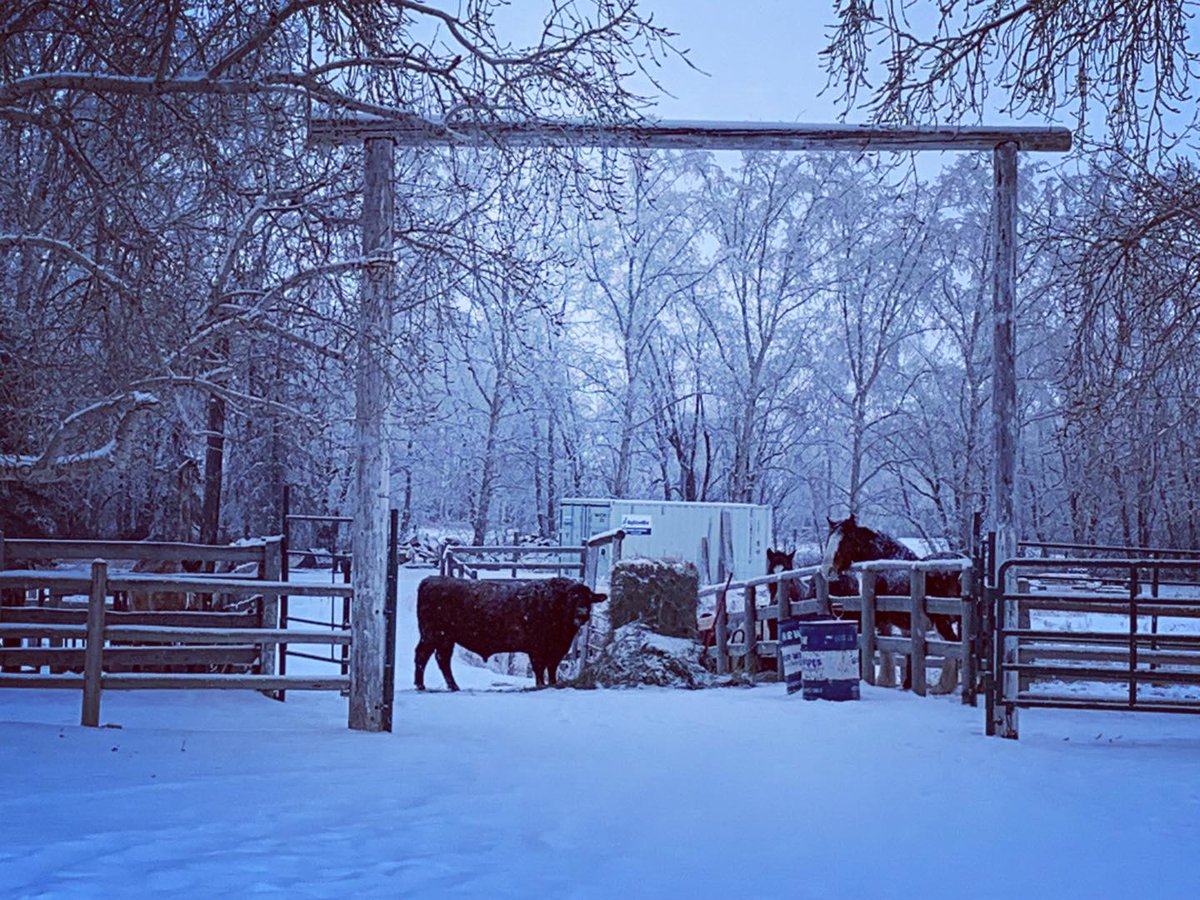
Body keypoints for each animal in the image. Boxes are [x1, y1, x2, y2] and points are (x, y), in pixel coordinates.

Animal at [415, 576, 606, 691]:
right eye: (572, 598)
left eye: (588, 599)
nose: (582, 613)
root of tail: (430, 580)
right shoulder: (537, 650)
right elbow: (539, 669)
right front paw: (540, 685)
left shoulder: (557, 651)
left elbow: (552, 669)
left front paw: (552, 684)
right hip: (432, 635)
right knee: (423, 655)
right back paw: (421, 685)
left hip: (445, 639)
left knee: (442, 659)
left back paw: (453, 686)